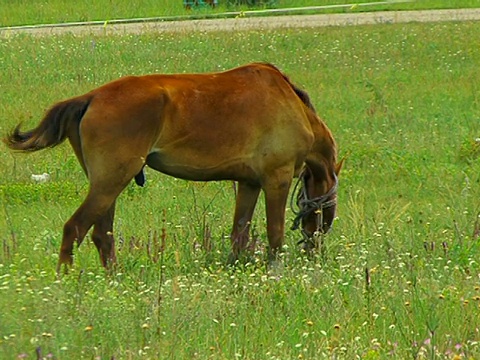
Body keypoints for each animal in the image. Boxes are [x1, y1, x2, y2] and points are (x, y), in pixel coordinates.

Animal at [3, 63, 342, 272]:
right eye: (327, 206)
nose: (314, 248)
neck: (290, 102)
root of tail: (91, 97)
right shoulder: (276, 179)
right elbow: (275, 234)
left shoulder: (249, 184)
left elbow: (239, 232)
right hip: (111, 182)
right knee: (75, 228)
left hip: (106, 185)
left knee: (102, 236)